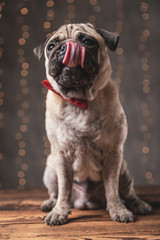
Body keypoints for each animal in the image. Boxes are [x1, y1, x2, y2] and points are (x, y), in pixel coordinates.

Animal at [33, 22, 151, 225]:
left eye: (88, 42)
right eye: (51, 46)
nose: (67, 46)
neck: (80, 100)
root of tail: (85, 201)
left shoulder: (113, 153)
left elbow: (112, 189)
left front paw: (118, 210)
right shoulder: (61, 156)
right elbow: (64, 190)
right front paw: (59, 212)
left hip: (124, 171)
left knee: (127, 193)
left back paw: (137, 204)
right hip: (50, 169)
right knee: (56, 192)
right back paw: (50, 203)